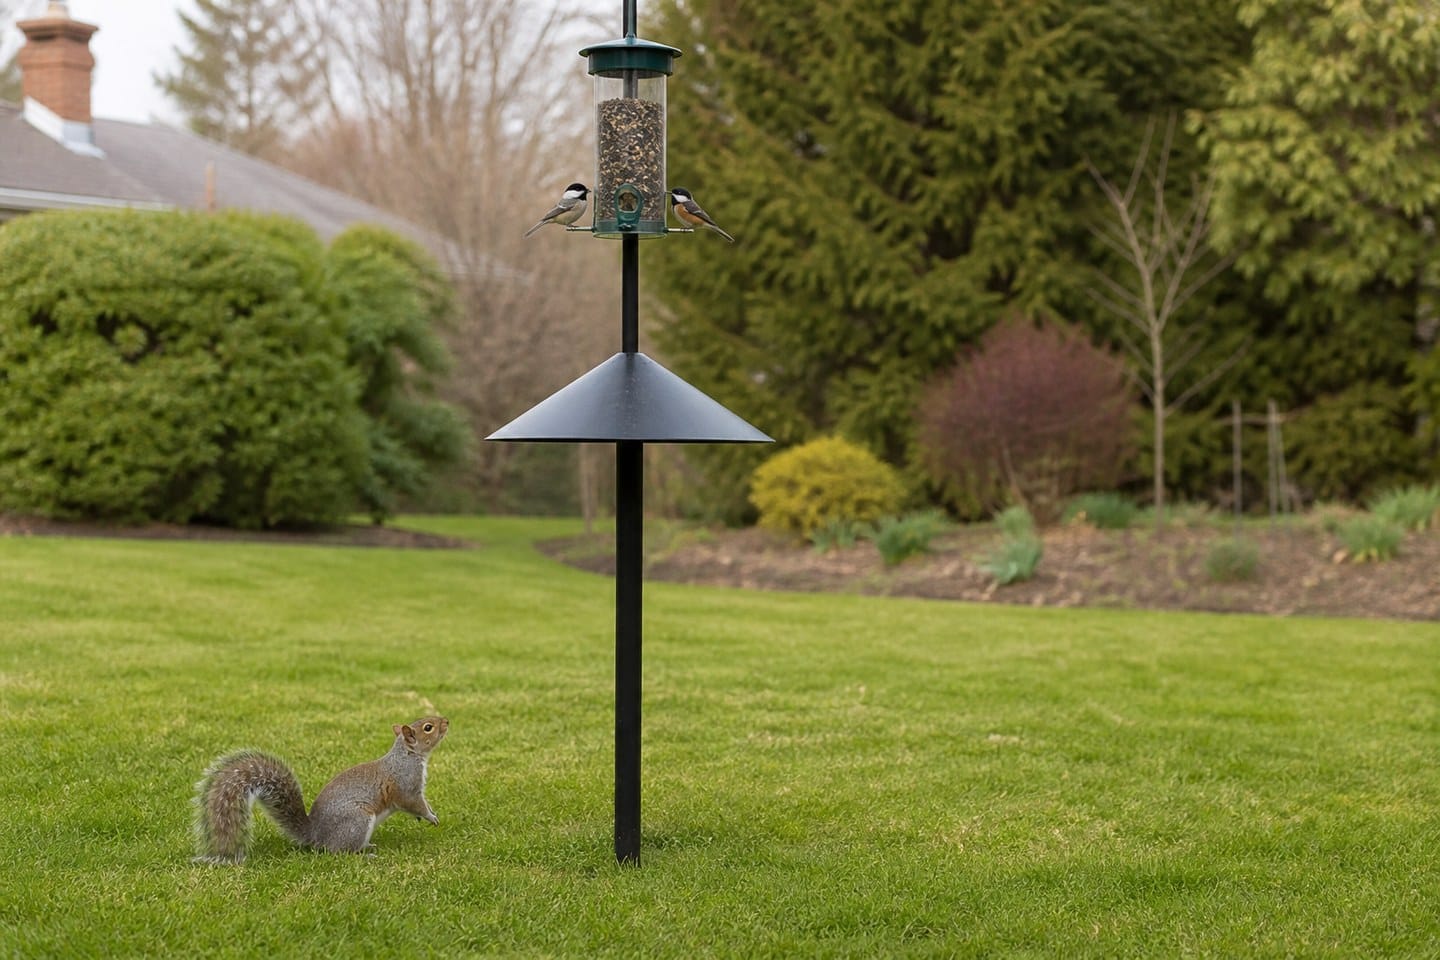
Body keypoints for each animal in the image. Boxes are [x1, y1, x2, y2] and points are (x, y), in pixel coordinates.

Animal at [192, 715, 448, 864]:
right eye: (428, 727)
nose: (446, 721)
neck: (407, 755)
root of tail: (316, 834)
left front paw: (426, 816)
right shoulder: (406, 786)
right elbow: (415, 803)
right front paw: (431, 817)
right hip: (357, 820)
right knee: (338, 852)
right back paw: (365, 854)